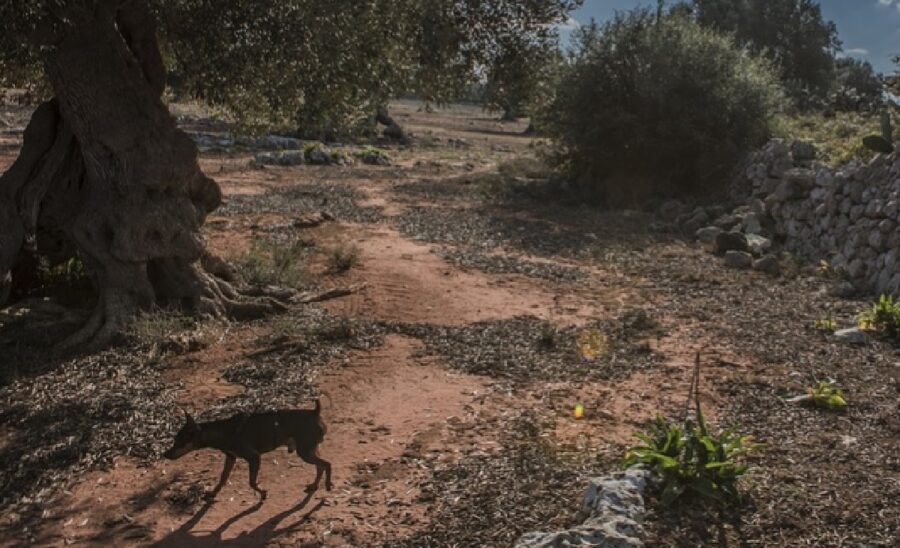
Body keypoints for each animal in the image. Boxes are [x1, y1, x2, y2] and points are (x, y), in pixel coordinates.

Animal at [163, 398, 332, 500]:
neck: (224, 431)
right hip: (309, 449)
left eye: (179, 442)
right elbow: (223, 477)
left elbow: (251, 481)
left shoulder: (254, 457)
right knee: (320, 466)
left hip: (304, 451)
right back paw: (314, 485)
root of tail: (315, 413)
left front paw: (262, 492)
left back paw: (328, 484)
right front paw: (213, 492)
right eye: (174, 440)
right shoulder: (231, 457)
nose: (165, 454)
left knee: (327, 464)